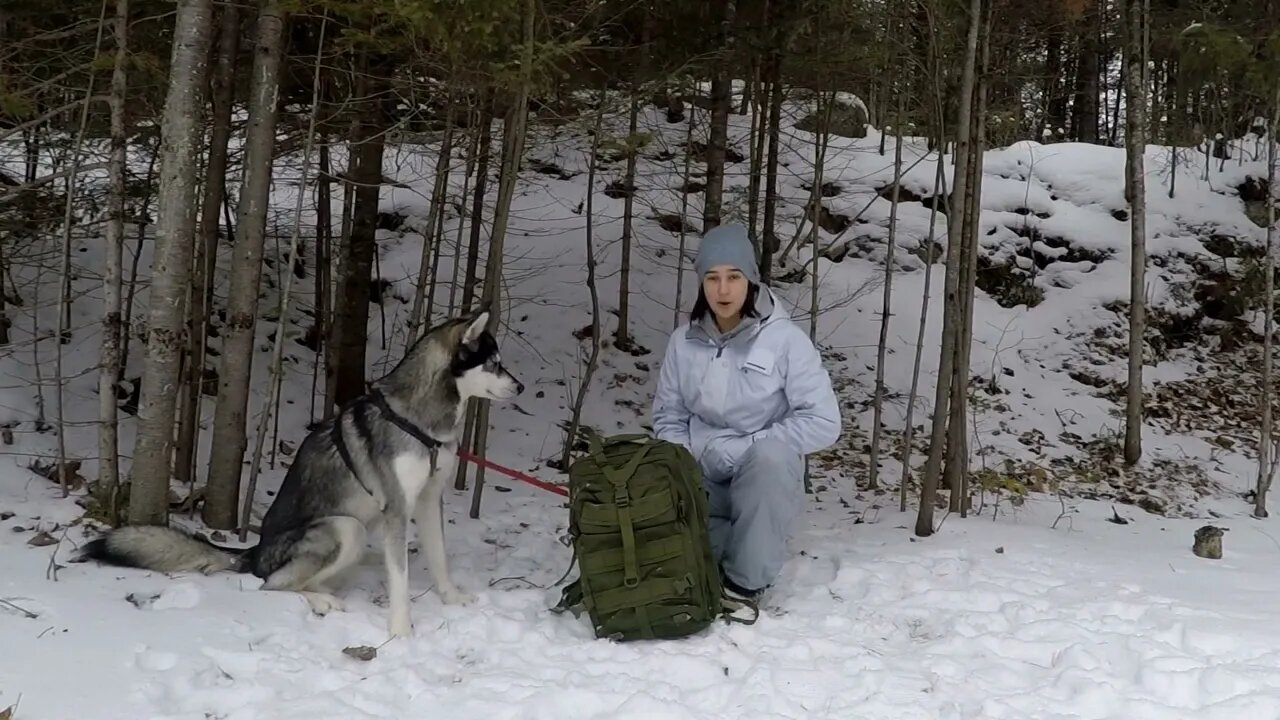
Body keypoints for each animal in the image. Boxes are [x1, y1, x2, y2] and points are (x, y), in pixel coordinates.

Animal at [77, 308, 519, 632]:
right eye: (495, 363)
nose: (521, 387)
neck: (419, 421)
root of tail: (254, 552)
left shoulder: (427, 499)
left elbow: (439, 557)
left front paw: (452, 598)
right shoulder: (397, 507)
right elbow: (401, 581)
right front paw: (400, 632)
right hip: (344, 528)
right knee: (273, 585)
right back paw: (320, 598)